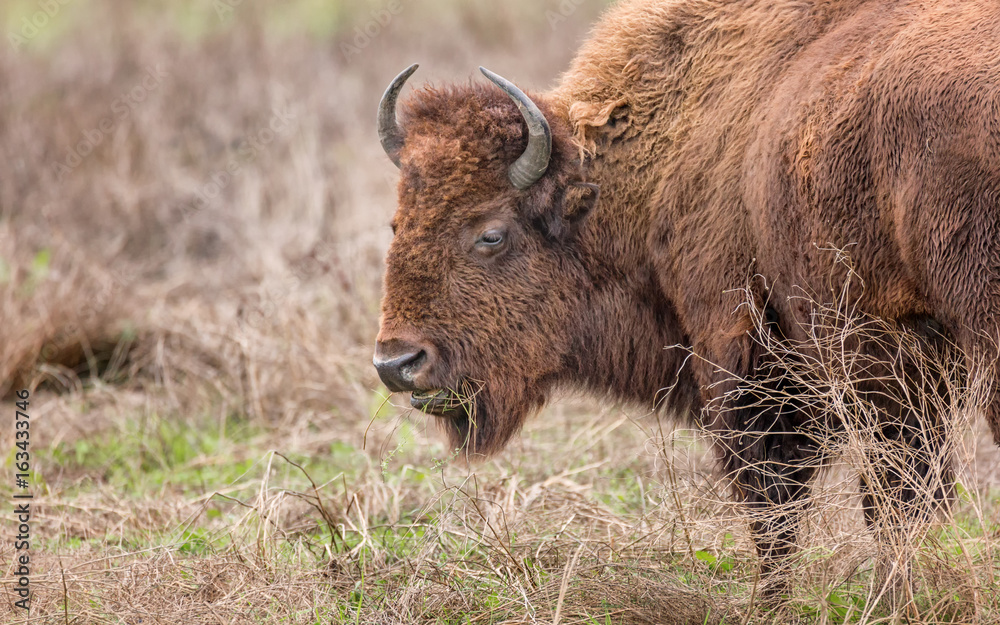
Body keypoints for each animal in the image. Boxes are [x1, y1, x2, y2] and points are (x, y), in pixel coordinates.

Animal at [372, 0, 1000, 584]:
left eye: (491, 233)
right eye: (396, 224)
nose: (397, 363)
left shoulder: (750, 360)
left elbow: (783, 510)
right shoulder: (905, 375)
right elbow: (896, 499)